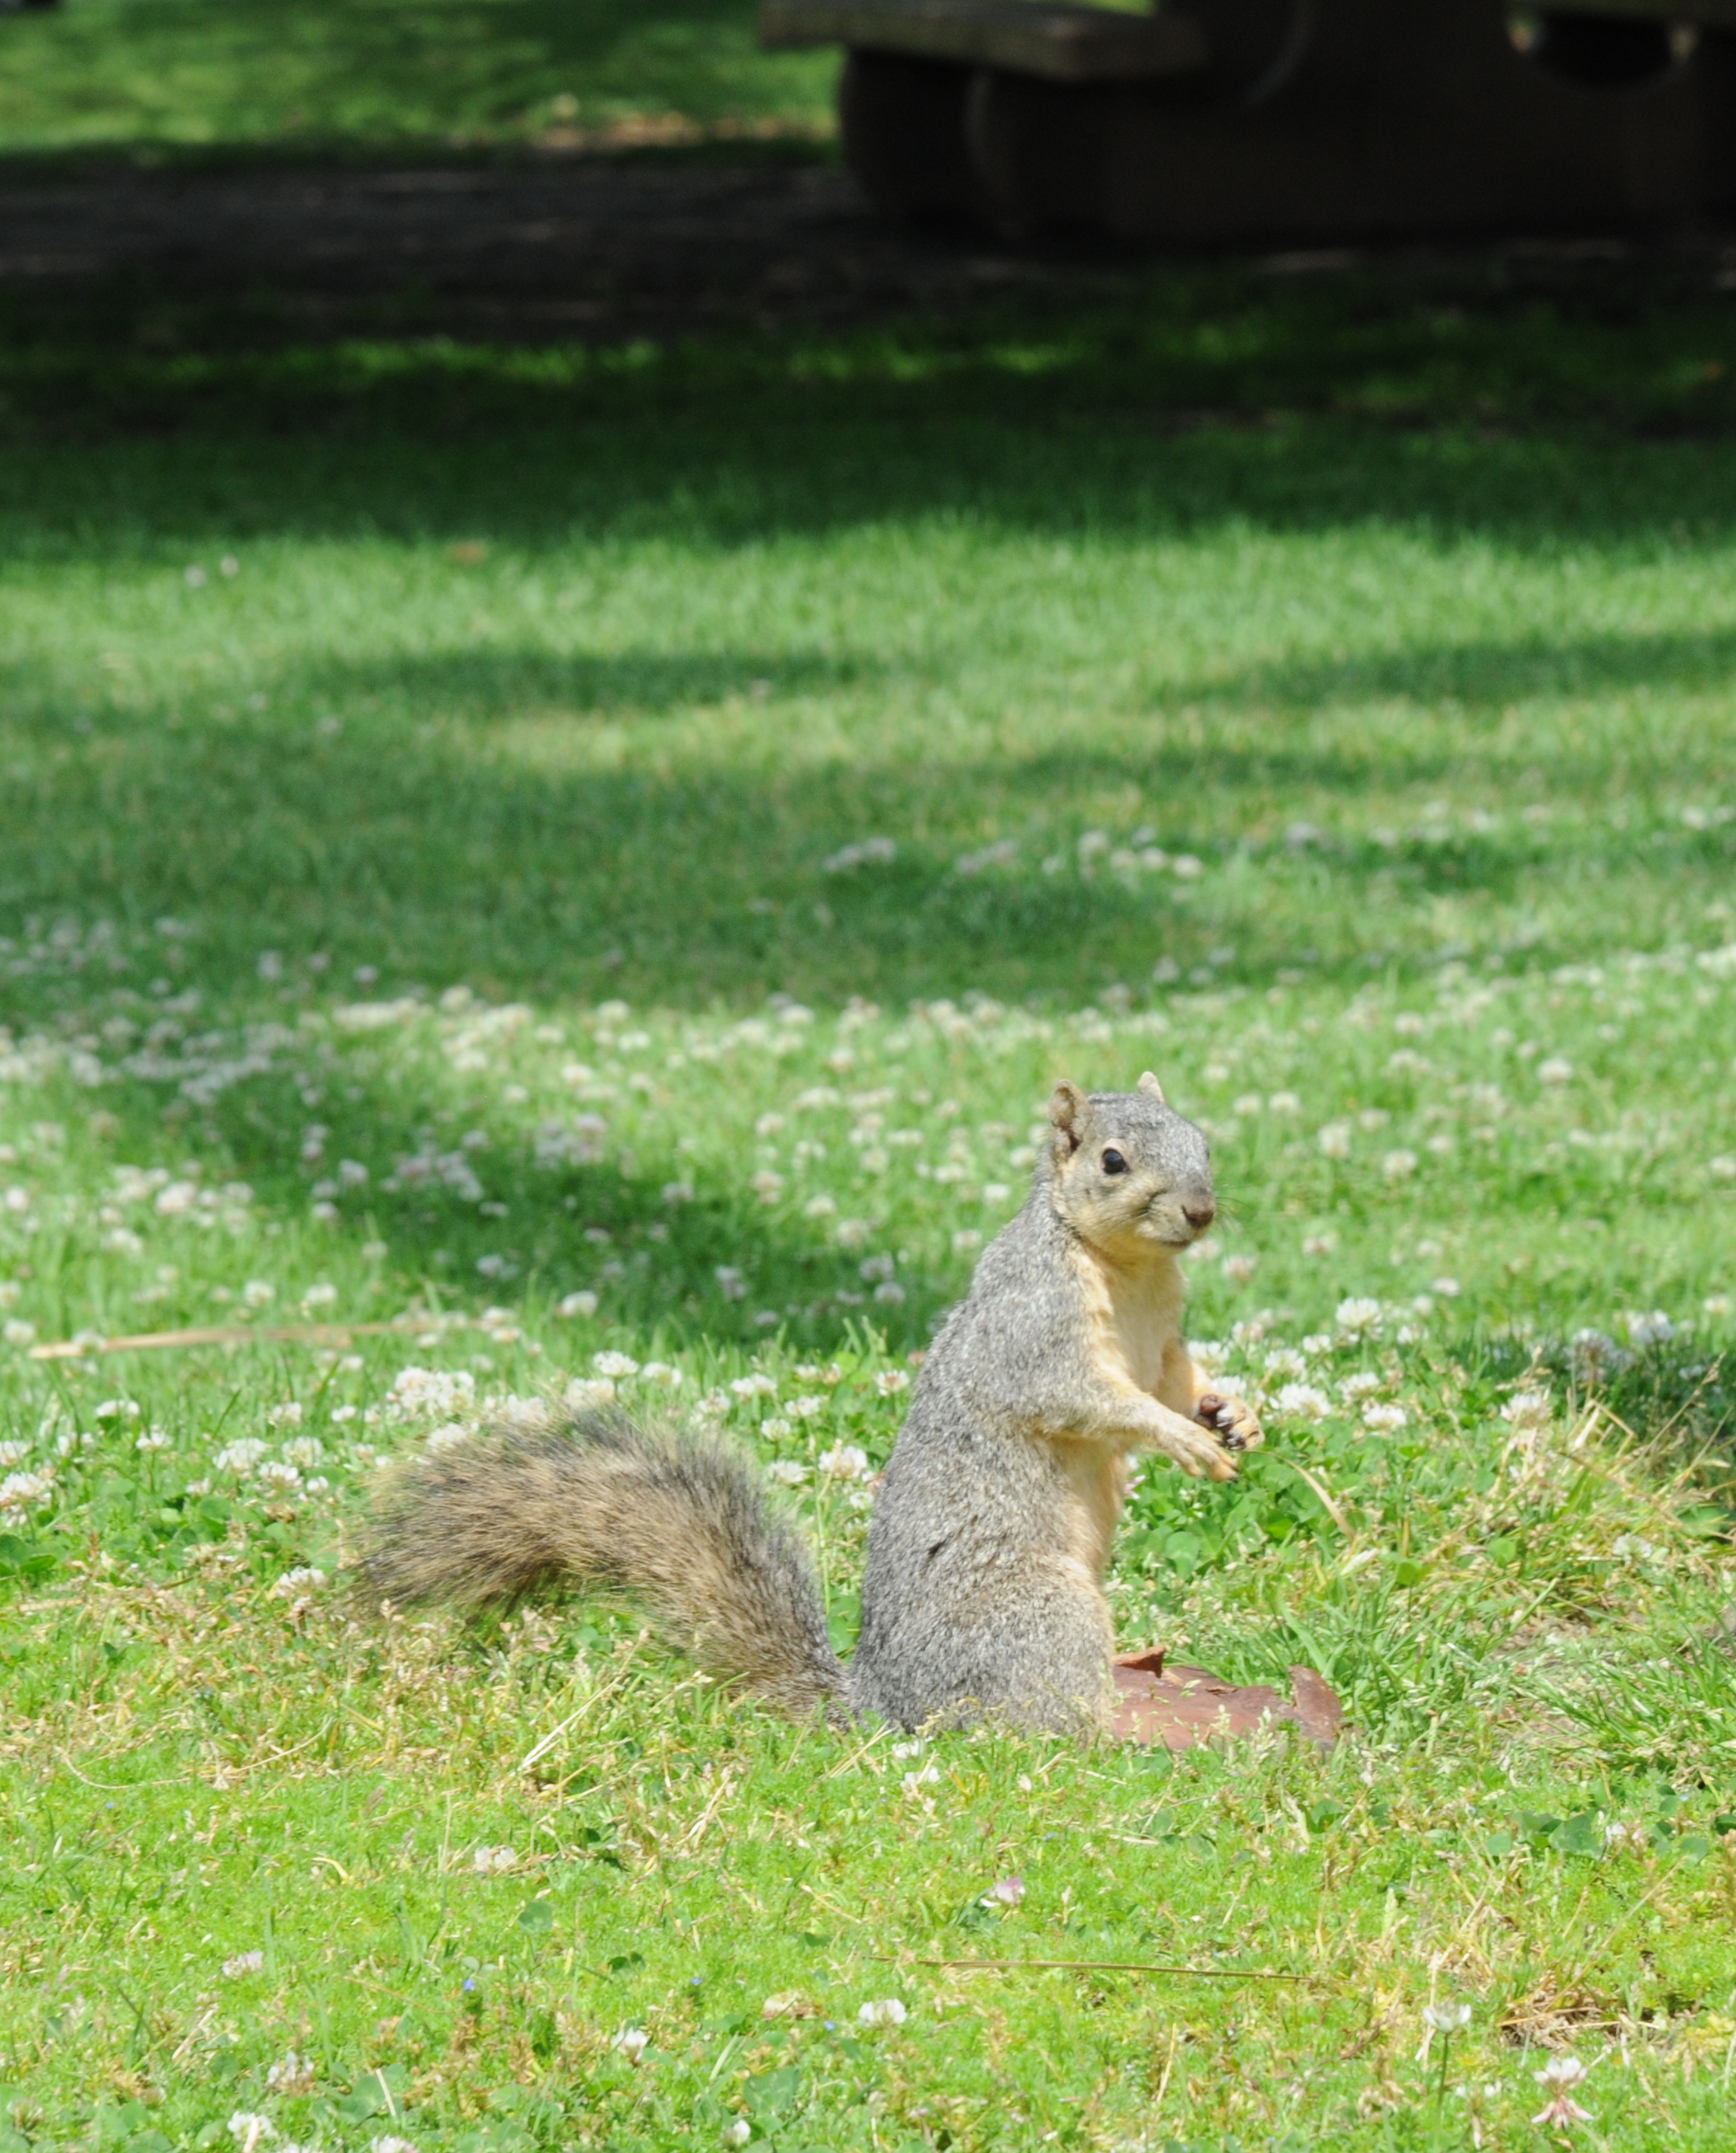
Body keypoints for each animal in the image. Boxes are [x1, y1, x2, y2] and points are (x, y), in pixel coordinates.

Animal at [363, 1072, 1262, 1736]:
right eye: (1111, 1161)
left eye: (1201, 1140)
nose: (1201, 1210)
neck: (1130, 1267)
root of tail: (886, 1707)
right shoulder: (1031, 1325)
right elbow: (1079, 1396)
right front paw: (1178, 1438)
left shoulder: (1163, 1340)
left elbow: (1177, 1380)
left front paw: (1233, 1415)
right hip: (1041, 1615)